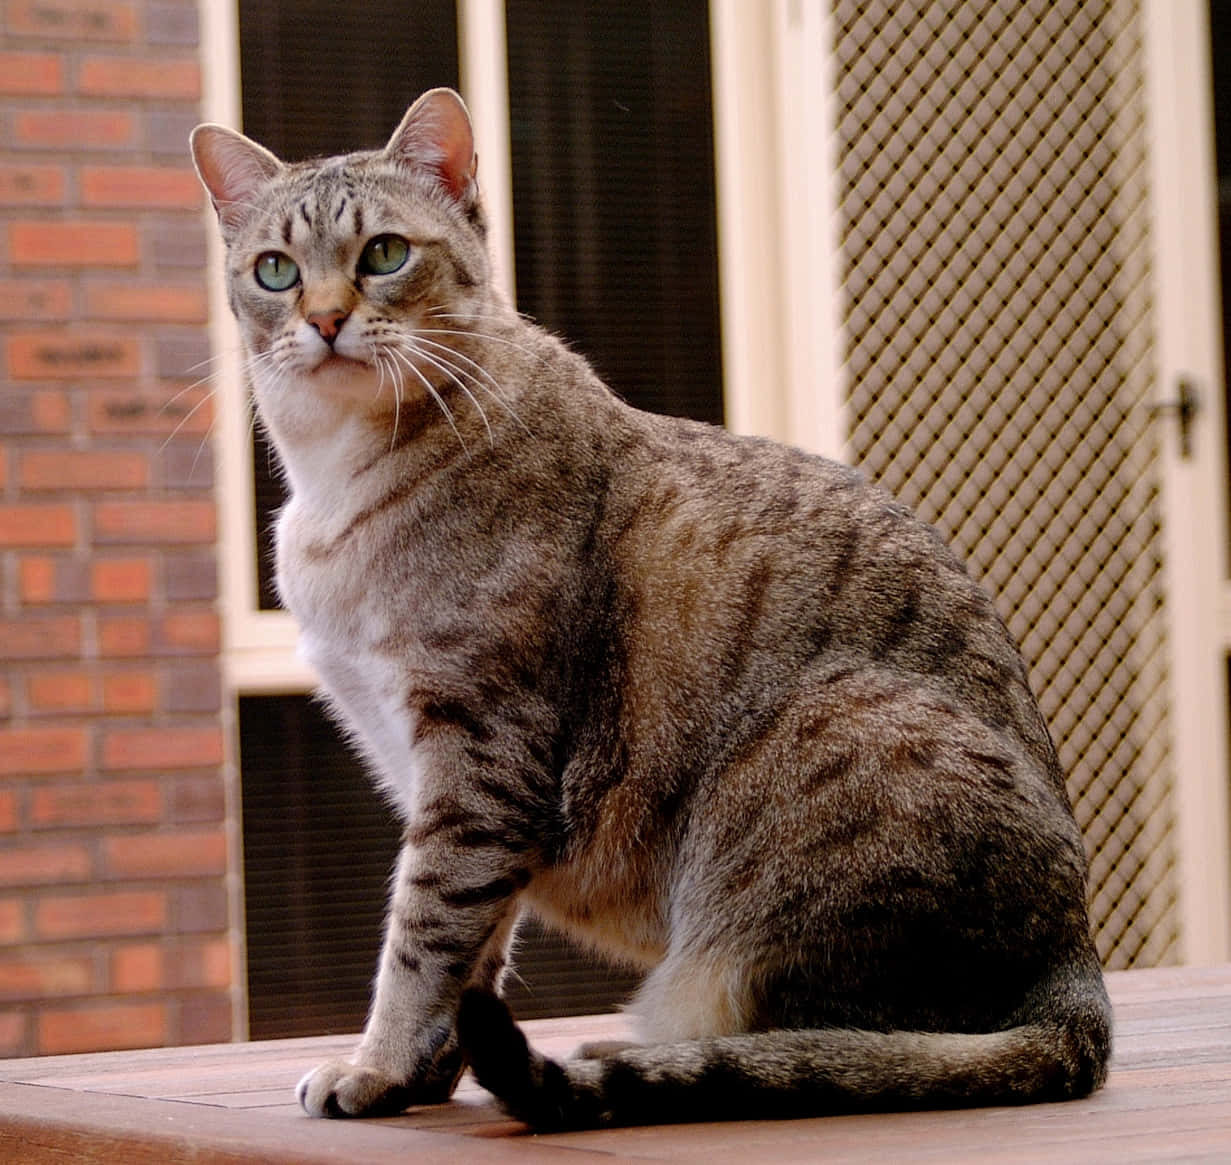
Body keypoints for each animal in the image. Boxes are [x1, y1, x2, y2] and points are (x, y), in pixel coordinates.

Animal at [187, 88, 1112, 1128]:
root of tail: (1077, 976)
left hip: (810, 777)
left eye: (384, 253)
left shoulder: (478, 752)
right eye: (275, 270)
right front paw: (423, 1072)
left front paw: (377, 1066)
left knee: (839, 1038)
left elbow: (423, 935)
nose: (326, 318)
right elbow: (472, 945)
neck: (337, 484)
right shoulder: (462, 781)